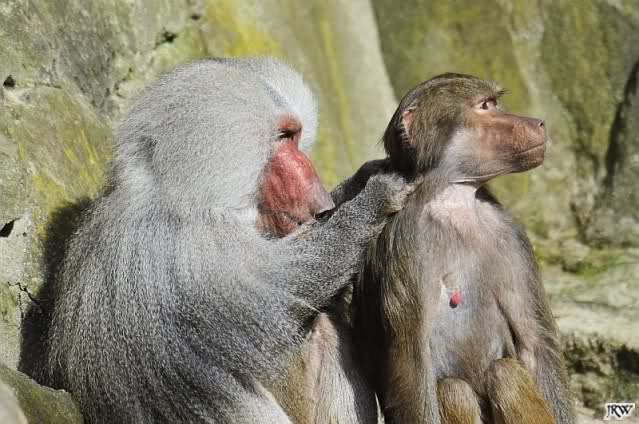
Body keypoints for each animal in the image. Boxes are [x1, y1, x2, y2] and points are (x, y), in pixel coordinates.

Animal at [46, 57, 414, 424]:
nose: (321, 199)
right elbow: (293, 281)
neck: (181, 196)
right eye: (284, 136)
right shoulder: (190, 253)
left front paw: (360, 180)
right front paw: (376, 196)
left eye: (296, 137)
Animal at [352, 73, 575, 424]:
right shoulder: (407, 241)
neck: (453, 204)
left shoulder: (508, 233)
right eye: (486, 106)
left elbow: (536, 345)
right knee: (452, 389)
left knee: (505, 373)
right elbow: (413, 366)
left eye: (495, 103)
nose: (538, 123)